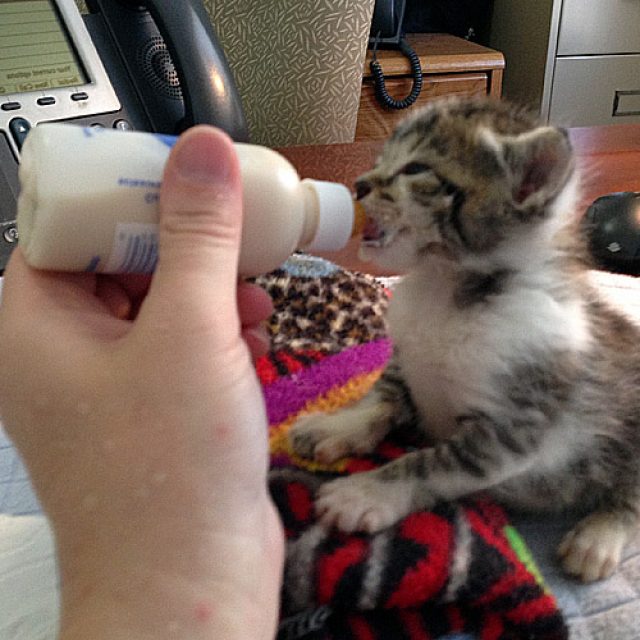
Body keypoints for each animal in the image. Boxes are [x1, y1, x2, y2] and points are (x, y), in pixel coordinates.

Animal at [288, 96, 640, 583]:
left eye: (416, 168)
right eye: (381, 160)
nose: (358, 184)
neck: (446, 288)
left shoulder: (512, 427)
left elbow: (430, 462)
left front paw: (365, 492)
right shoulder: (405, 360)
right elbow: (382, 398)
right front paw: (340, 426)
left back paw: (598, 537)